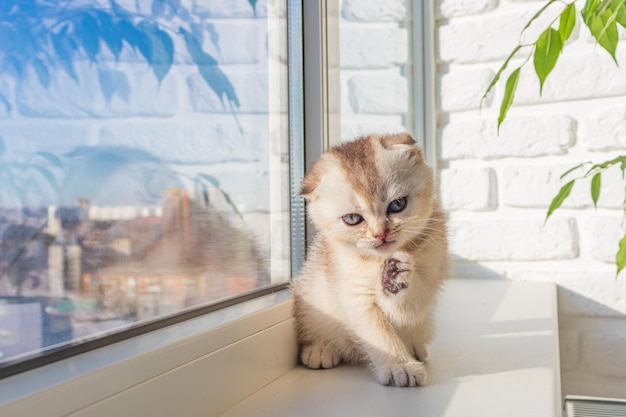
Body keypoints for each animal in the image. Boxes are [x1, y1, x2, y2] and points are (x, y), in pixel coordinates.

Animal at [290, 132, 446, 386]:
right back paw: (320, 349)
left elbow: (410, 306)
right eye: (352, 219)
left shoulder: (433, 270)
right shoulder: (355, 296)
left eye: (397, 204)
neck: (375, 262)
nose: (380, 234)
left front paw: (395, 277)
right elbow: (379, 335)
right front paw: (400, 367)